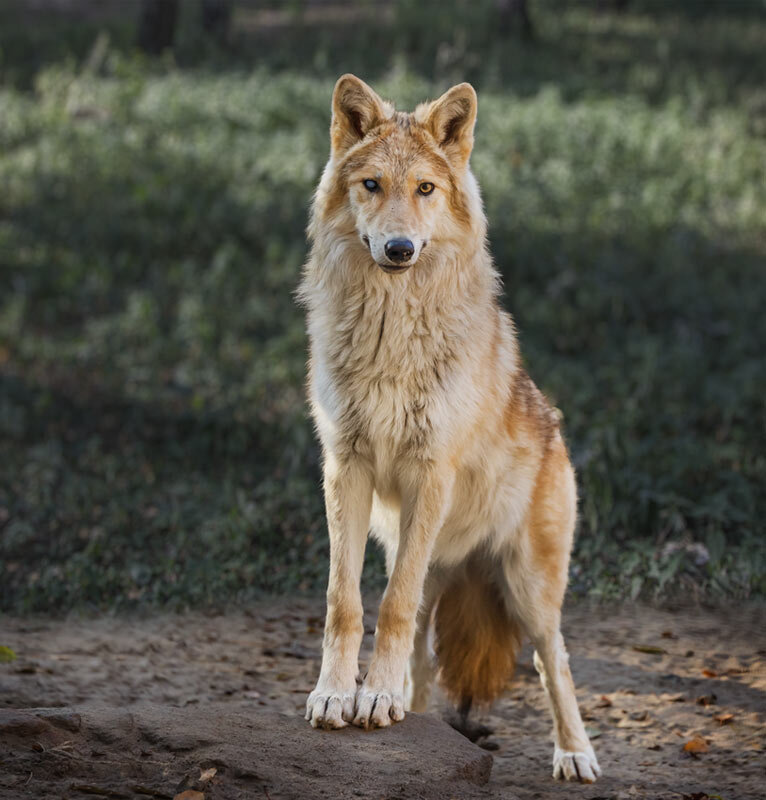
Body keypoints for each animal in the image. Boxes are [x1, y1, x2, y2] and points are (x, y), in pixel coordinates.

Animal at [296, 72, 604, 784]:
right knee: (424, 649)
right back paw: (405, 707)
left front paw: (371, 697)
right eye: (372, 185)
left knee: (552, 658)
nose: (399, 248)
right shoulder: (344, 467)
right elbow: (346, 602)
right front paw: (337, 695)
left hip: (528, 587)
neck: (390, 330)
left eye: (425, 190)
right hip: (430, 557)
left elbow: (389, 606)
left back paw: (575, 754)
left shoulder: (430, 471)